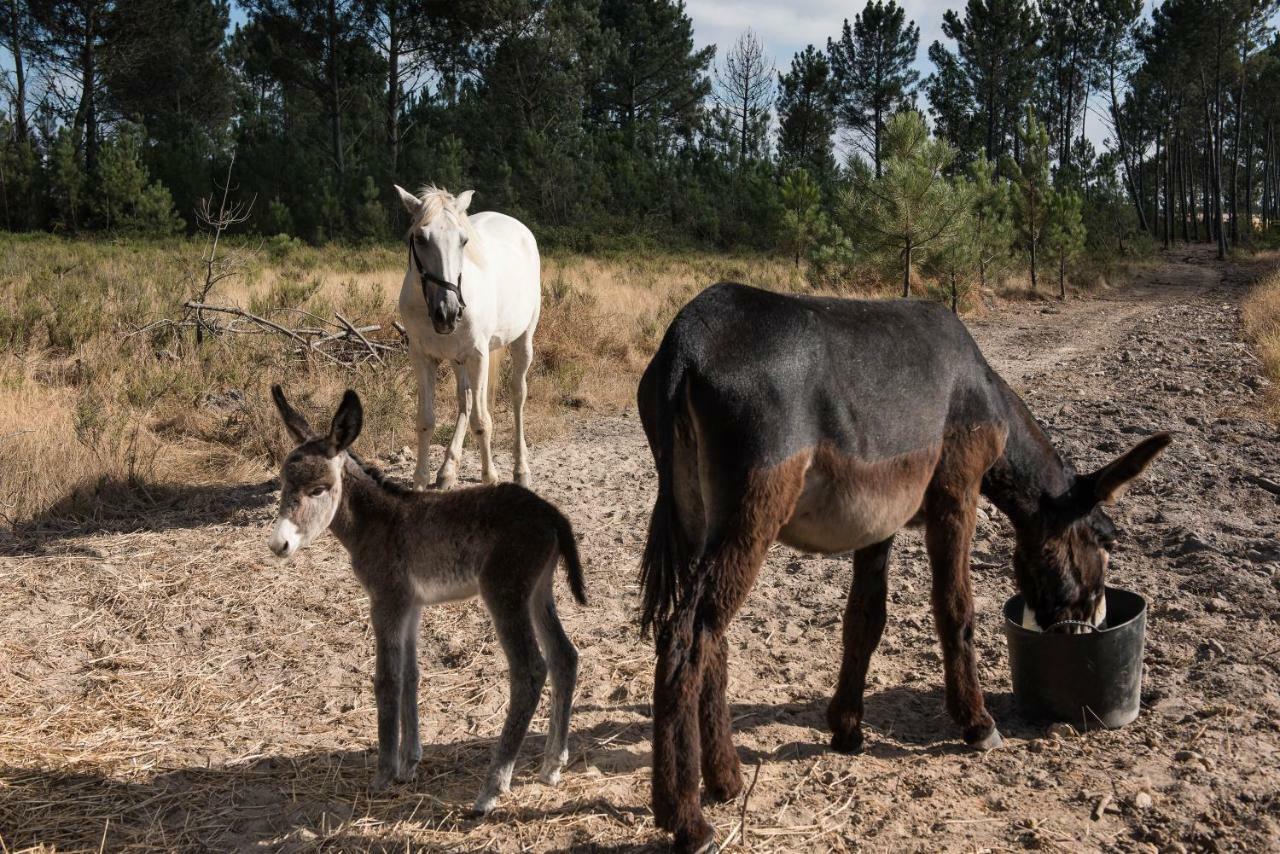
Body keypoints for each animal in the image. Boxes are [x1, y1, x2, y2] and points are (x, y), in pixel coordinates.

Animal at [272, 384, 591, 814]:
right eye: (282, 485)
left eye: (317, 490)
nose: (278, 545)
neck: (378, 522)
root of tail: (552, 514)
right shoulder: (411, 606)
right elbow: (410, 675)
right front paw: (410, 763)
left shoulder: (386, 601)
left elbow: (387, 680)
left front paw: (384, 773)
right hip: (538, 590)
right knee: (564, 657)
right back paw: (552, 765)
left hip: (505, 593)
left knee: (529, 671)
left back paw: (492, 788)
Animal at [396, 185, 542, 486]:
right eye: (420, 238)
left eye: (463, 241)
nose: (448, 312)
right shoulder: (422, 357)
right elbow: (426, 420)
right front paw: (420, 479)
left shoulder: (478, 355)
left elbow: (481, 422)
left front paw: (490, 477)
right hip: (457, 359)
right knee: (464, 400)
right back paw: (448, 470)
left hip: (523, 341)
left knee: (517, 394)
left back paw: (521, 469)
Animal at [640, 284, 1172, 850]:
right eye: (1105, 541)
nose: (1090, 626)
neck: (980, 385)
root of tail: (686, 341)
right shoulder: (957, 495)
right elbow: (955, 609)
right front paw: (976, 724)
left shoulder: (880, 522)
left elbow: (864, 622)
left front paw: (846, 728)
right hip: (753, 509)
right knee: (685, 637)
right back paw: (686, 819)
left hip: (699, 516)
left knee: (711, 638)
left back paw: (725, 779)